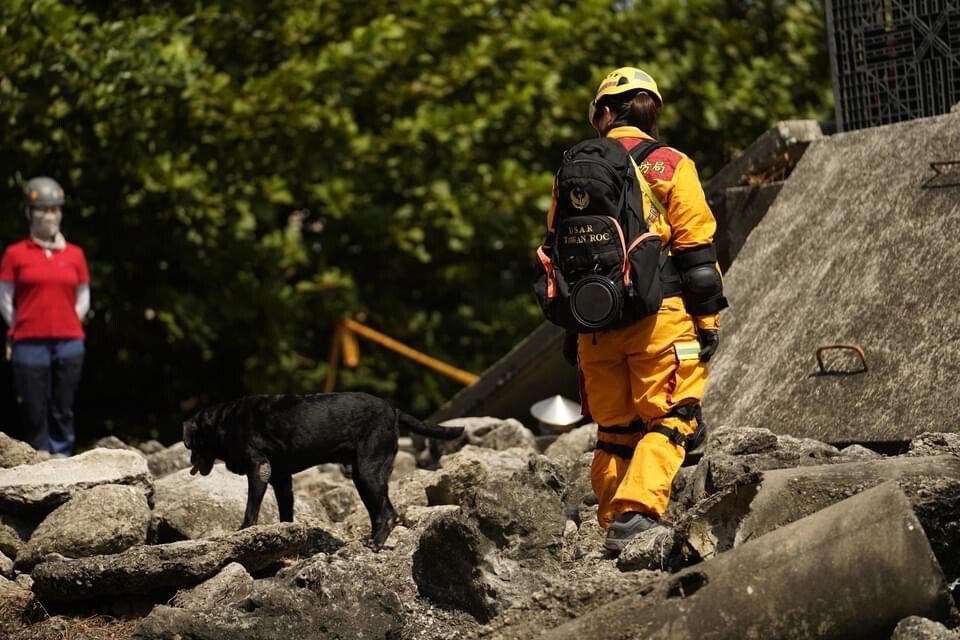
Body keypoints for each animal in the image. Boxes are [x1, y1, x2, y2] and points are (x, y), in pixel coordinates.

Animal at [185, 392, 464, 548]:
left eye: (192, 443)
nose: (189, 461)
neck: (224, 422)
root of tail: (393, 410)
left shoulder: (260, 468)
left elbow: (251, 509)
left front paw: (244, 530)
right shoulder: (281, 478)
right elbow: (286, 512)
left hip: (368, 471)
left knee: (387, 513)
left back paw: (376, 544)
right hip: (362, 476)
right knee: (378, 512)